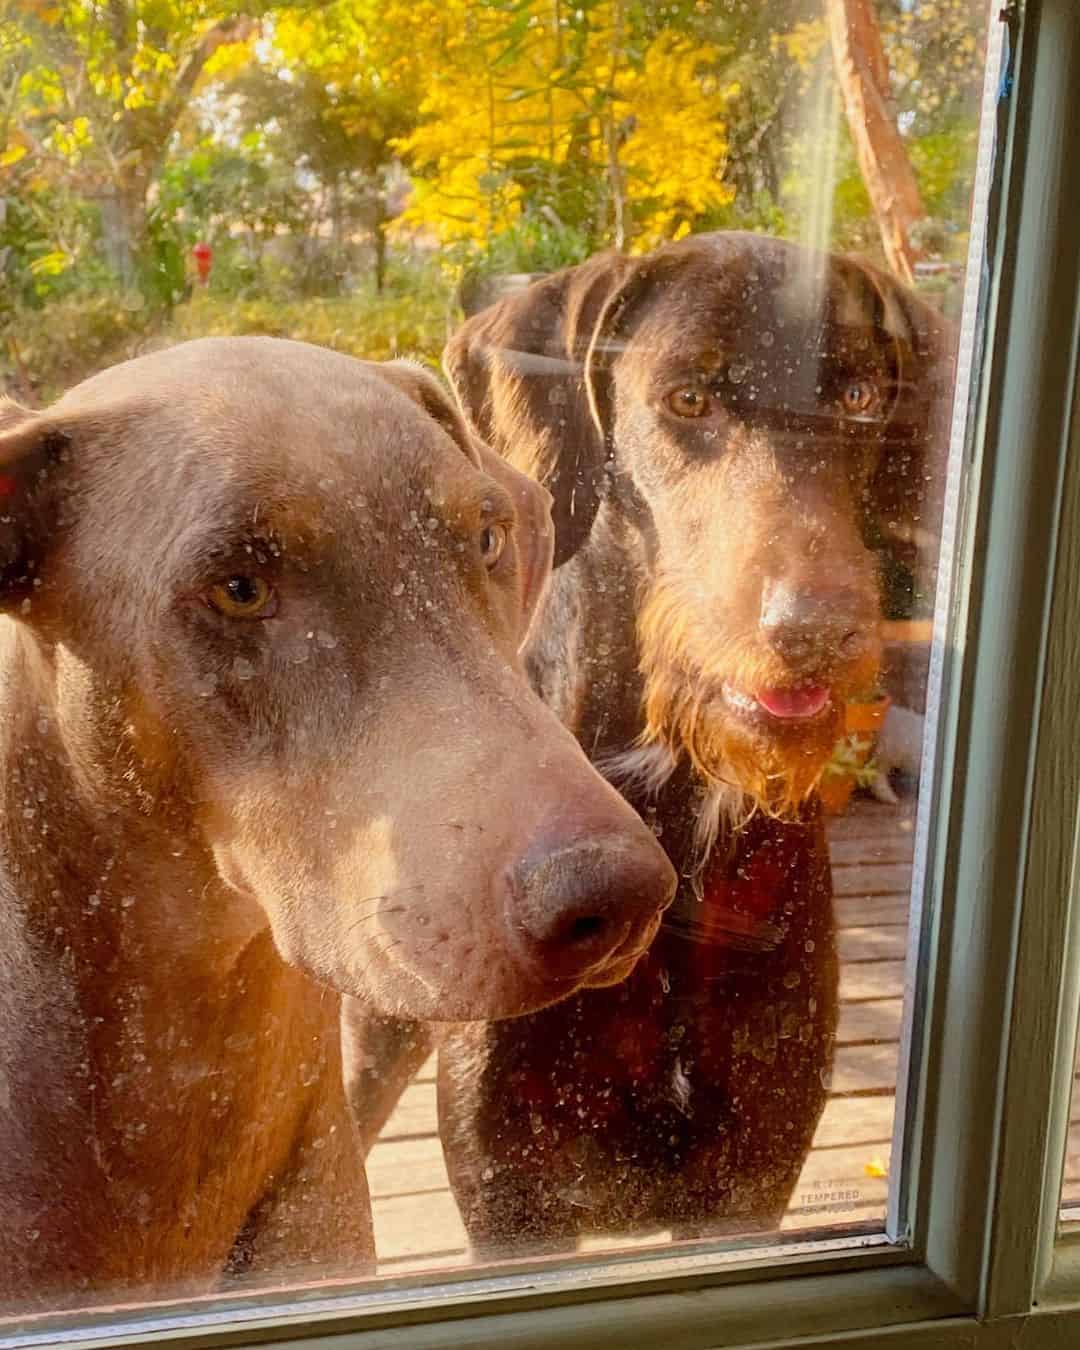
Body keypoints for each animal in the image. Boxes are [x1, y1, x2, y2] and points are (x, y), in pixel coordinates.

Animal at [345, 232, 955, 1252]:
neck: (670, 807)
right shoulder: (509, 1195)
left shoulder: (749, 1180)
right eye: (689, 399)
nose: (816, 630)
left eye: (863, 396)